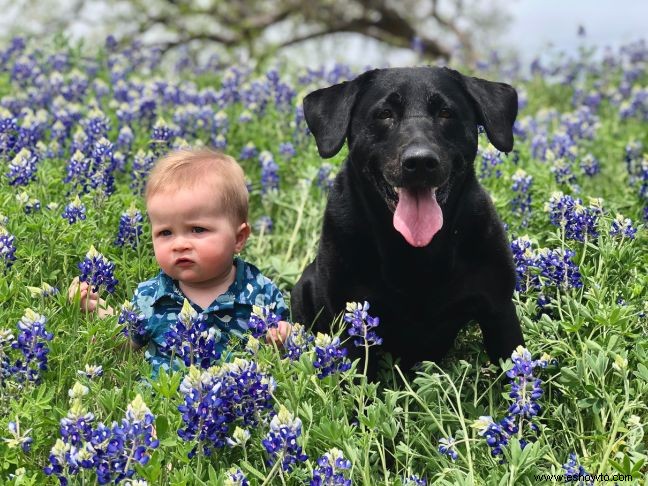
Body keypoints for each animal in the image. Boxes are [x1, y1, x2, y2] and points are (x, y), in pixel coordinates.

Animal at [292, 67, 524, 372]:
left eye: (446, 113)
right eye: (384, 114)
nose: (420, 161)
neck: (416, 253)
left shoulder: (499, 309)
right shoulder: (351, 323)